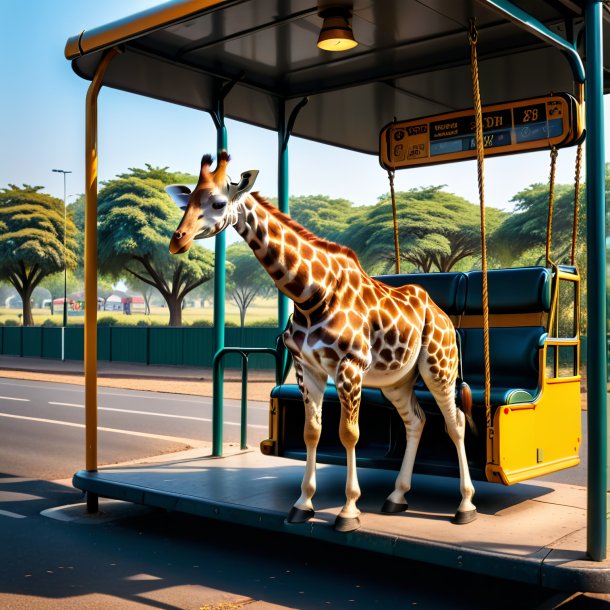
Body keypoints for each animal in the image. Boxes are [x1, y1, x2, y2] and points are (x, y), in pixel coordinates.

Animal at [166, 153, 476, 532]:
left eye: (218, 202)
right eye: (187, 201)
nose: (177, 240)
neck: (311, 294)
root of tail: (445, 317)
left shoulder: (350, 367)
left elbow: (349, 433)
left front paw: (348, 511)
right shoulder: (307, 368)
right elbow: (312, 431)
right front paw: (303, 504)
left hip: (438, 368)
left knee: (455, 423)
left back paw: (465, 506)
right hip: (397, 379)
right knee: (416, 421)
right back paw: (396, 497)